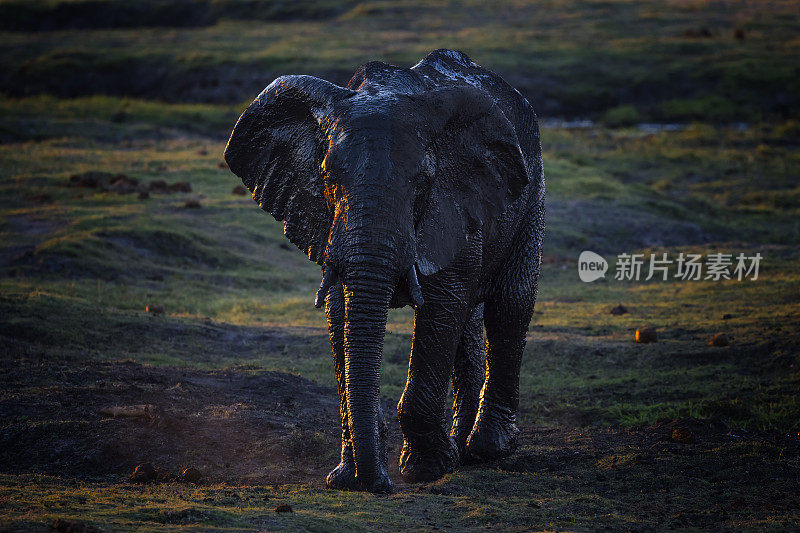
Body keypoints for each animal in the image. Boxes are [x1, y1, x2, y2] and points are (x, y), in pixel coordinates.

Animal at [228, 48, 548, 490]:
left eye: (422, 182)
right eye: (326, 177)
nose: (377, 484)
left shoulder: (451, 202)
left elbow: (443, 303)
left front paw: (425, 469)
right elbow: (343, 312)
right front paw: (345, 476)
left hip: (531, 193)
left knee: (509, 304)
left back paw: (487, 449)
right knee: (470, 320)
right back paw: (462, 448)